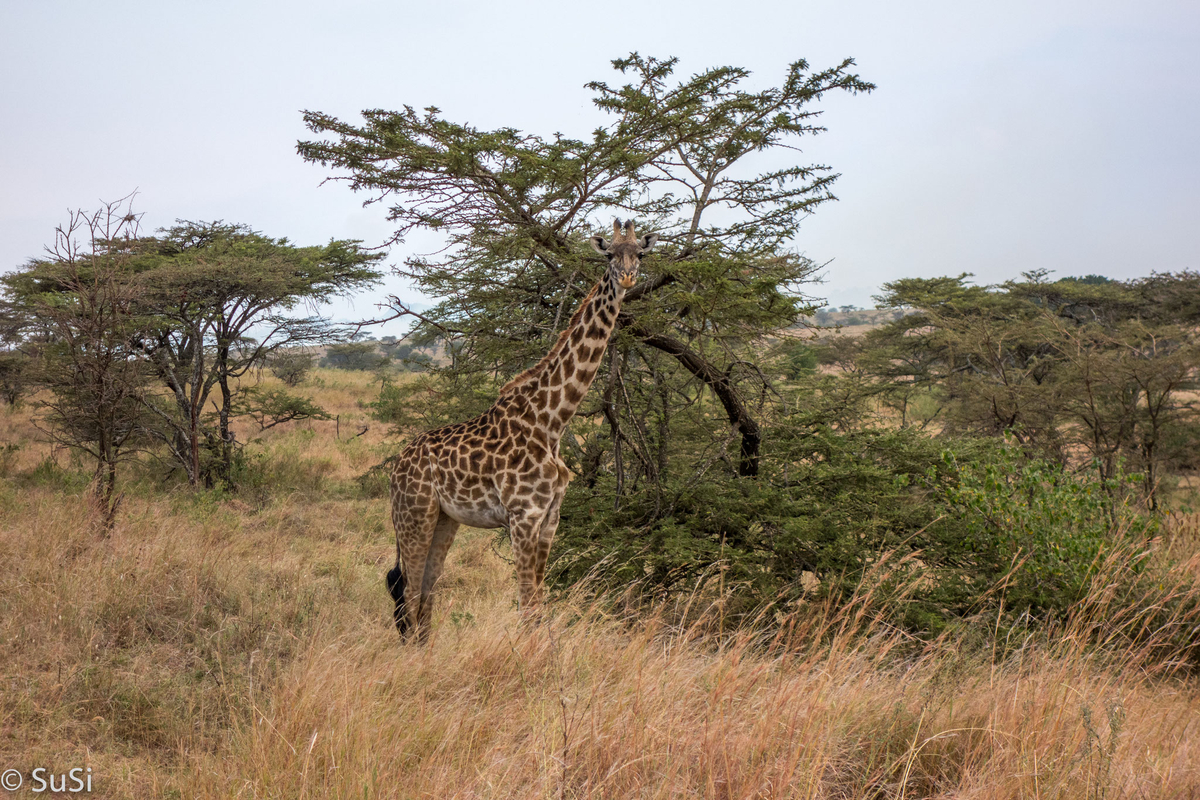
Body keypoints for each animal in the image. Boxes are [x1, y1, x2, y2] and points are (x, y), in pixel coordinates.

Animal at [386, 219, 659, 639]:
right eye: (610, 254)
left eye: (641, 254)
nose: (628, 277)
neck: (552, 421)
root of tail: (397, 465)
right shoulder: (522, 516)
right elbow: (527, 605)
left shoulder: (549, 518)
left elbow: (539, 605)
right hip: (413, 514)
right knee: (411, 590)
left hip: (444, 519)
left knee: (427, 591)